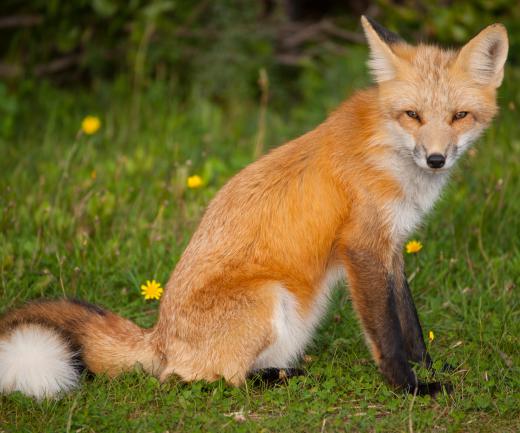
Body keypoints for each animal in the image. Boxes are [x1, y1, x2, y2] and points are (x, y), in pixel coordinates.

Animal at [0, 18, 506, 400]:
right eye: (412, 115)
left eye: (459, 116)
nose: (436, 158)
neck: (387, 148)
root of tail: (158, 337)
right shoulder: (362, 247)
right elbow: (387, 335)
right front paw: (410, 388)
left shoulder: (393, 244)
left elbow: (410, 324)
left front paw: (430, 367)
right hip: (269, 297)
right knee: (194, 380)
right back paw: (273, 379)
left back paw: (280, 372)